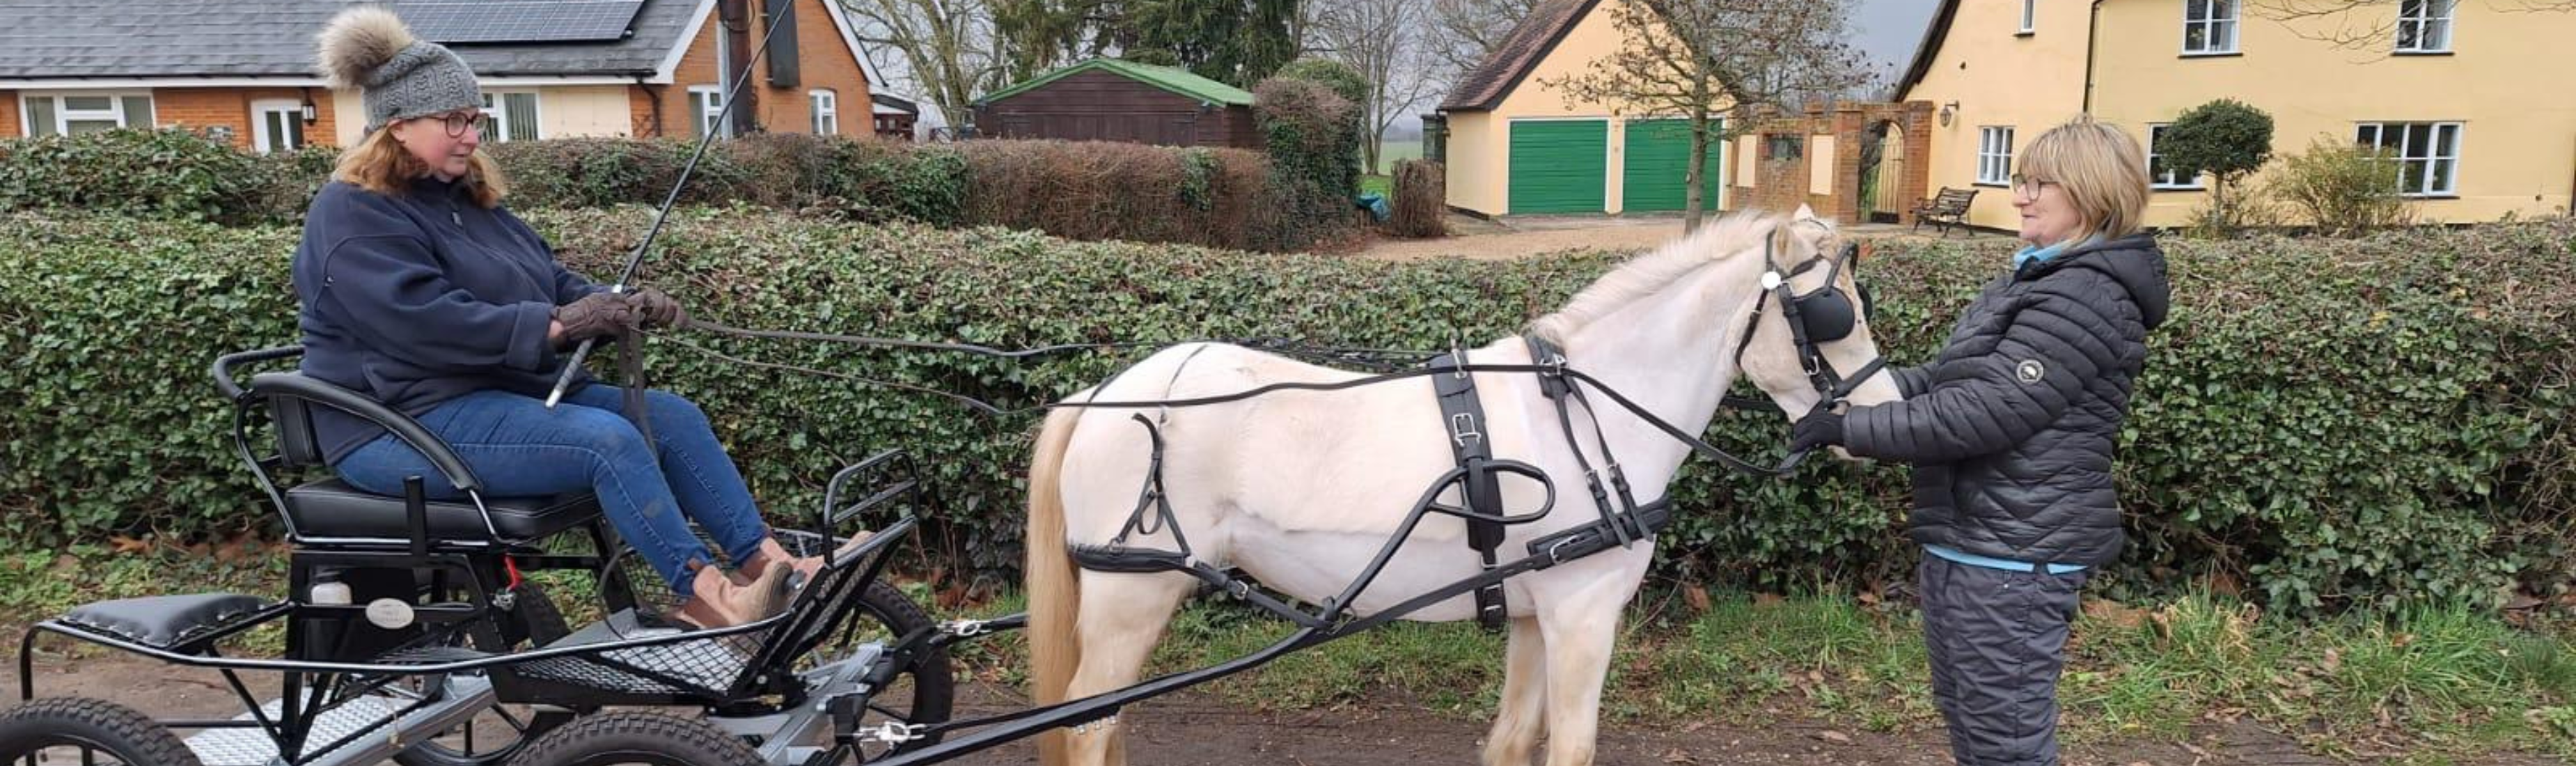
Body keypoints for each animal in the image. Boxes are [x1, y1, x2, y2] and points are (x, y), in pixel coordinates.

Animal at [1021, 206, 1901, 766]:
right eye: (1833, 313)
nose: (1883, 415)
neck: (1585, 413)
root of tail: (1102, 395)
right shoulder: (1583, 614)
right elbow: (1571, 745)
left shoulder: (1535, 614)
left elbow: (1513, 738)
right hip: (1129, 595)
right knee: (1087, 724)